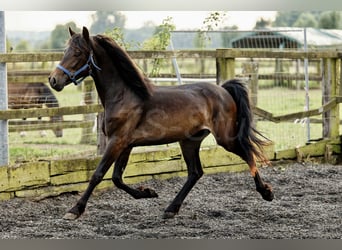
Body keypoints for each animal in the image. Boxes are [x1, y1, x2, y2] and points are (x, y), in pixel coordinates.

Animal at [48, 26, 274, 220]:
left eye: (78, 52)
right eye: (66, 50)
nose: (53, 80)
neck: (125, 96)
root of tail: (224, 90)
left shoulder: (117, 141)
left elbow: (98, 174)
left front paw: (74, 210)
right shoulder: (126, 144)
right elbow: (117, 178)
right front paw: (148, 192)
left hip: (225, 138)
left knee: (248, 154)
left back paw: (266, 192)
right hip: (189, 141)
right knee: (195, 173)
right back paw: (171, 209)